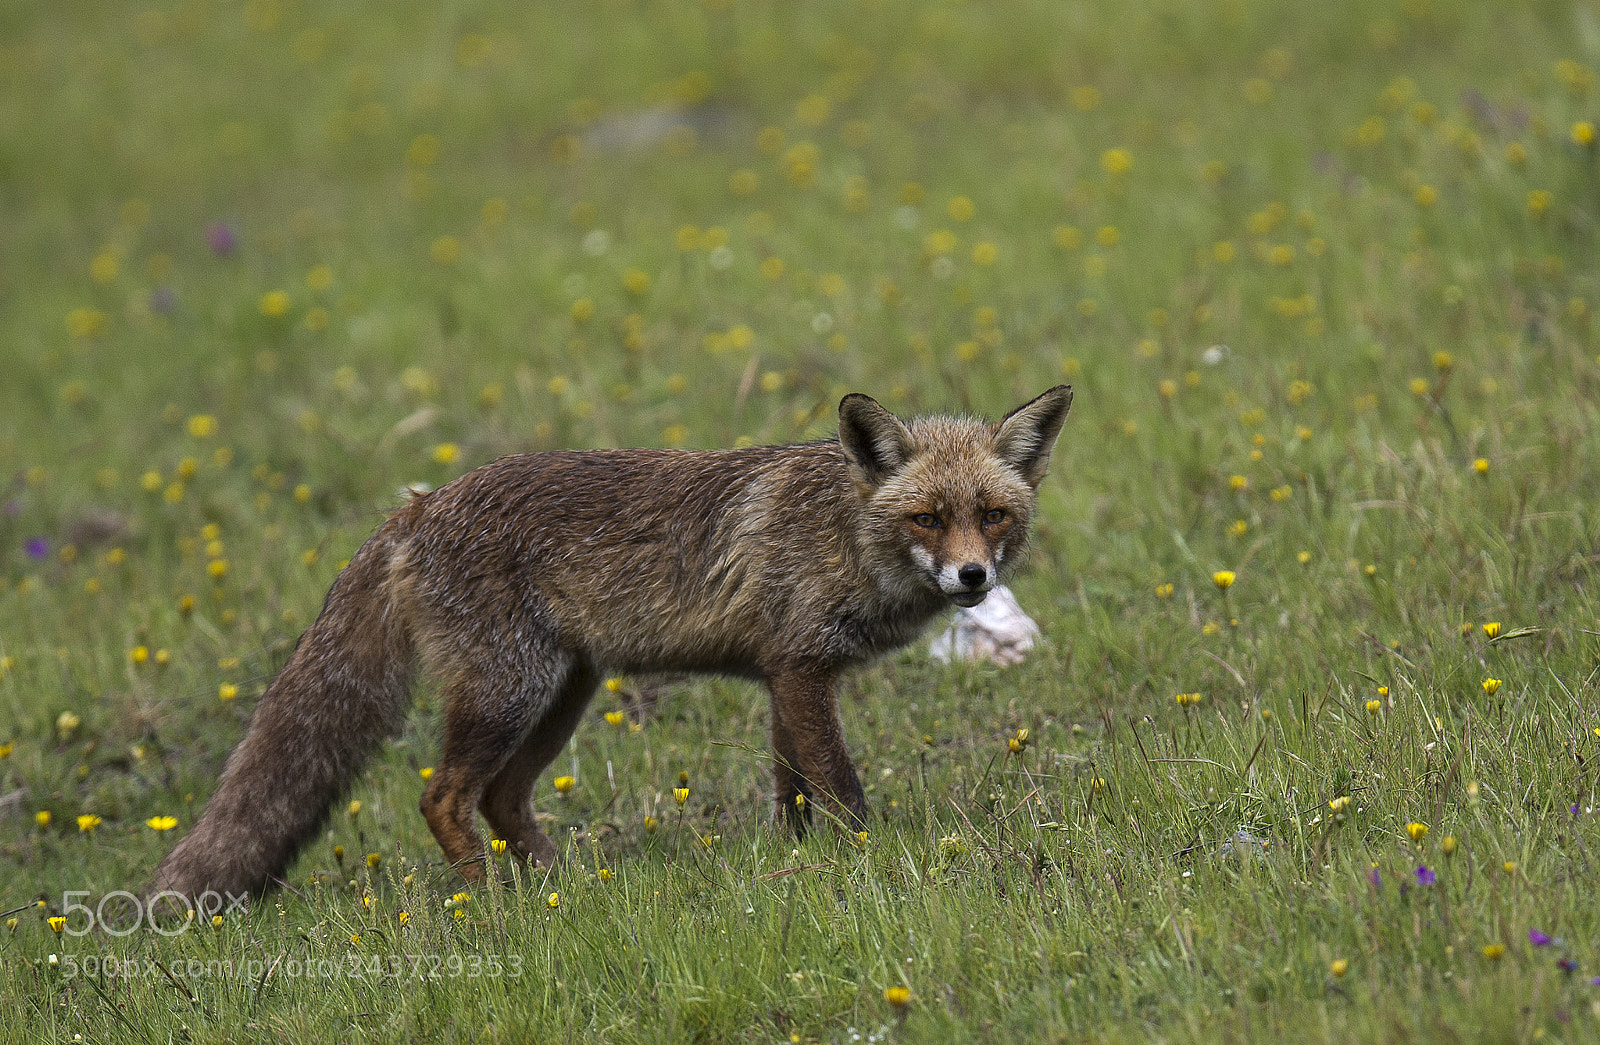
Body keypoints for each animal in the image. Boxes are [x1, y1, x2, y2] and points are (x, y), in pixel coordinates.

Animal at [148, 385, 1072, 906]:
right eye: (927, 517)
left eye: (993, 514)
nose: (972, 578)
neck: (844, 533)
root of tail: (417, 504)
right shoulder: (803, 669)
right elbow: (840, 789)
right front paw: (863, 863)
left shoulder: (786, 675)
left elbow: (793, 793)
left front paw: (800, 864)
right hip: (509, 692)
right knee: (443, 796)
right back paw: (490, 904)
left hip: (563, 695)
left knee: (500, 799)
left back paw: (560, 886)